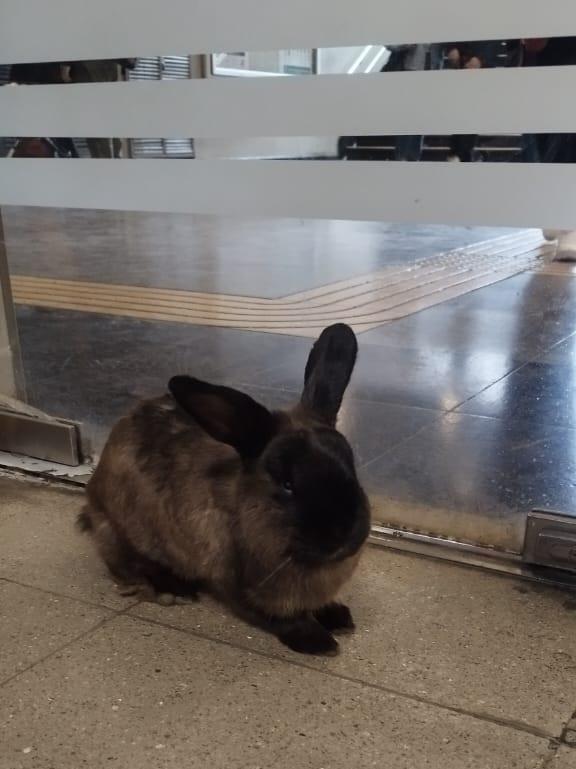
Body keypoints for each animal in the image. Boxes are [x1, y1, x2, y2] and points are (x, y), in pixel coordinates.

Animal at [81, 323, 371, 655]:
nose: (344, 534)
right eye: (287, 484)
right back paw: (174, 589)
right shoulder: (237, 588)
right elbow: (279, 618)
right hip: (121, 531)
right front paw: (318, 640)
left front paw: (338, 616)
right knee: (128, 563)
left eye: (352, 467)